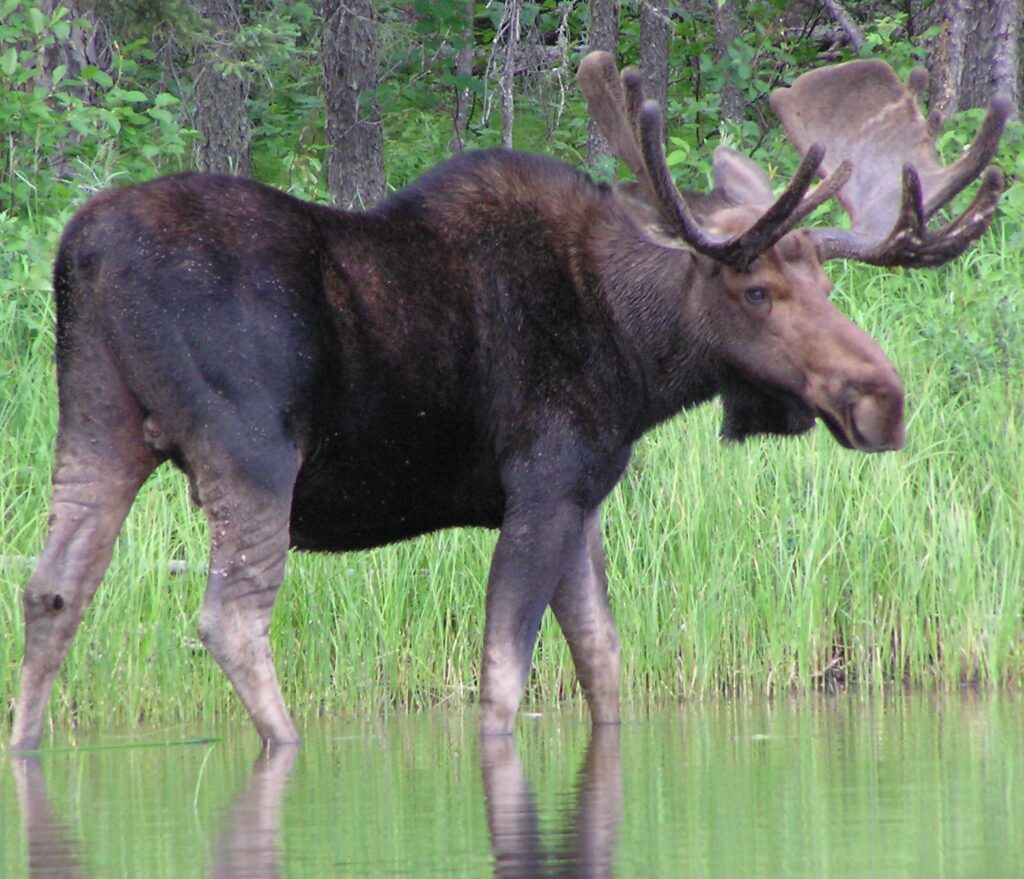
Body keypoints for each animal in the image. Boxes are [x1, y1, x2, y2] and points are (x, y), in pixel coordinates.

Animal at [8, 53, 1007, 745]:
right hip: (249, 449)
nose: (882, 399)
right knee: (232, 616)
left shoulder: (585, 495)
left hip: (96, 421)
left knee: (54, 590)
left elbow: (604, 662)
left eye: (828, 286)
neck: (637, 354)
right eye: (756, 290)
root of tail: (82, 249)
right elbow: (504, 678)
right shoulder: (543, 482)